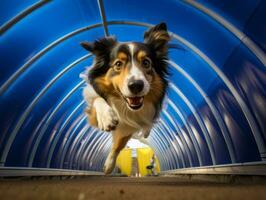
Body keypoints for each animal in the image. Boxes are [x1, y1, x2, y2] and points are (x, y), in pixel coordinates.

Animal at [80, 22, 169, 174]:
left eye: (146, 63)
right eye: (118, 64)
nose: (136, 85)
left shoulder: (129, 126)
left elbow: (118, 145)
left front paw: (109, 165)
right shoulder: (92, 105)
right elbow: (98, 99)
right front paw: (107, 118)